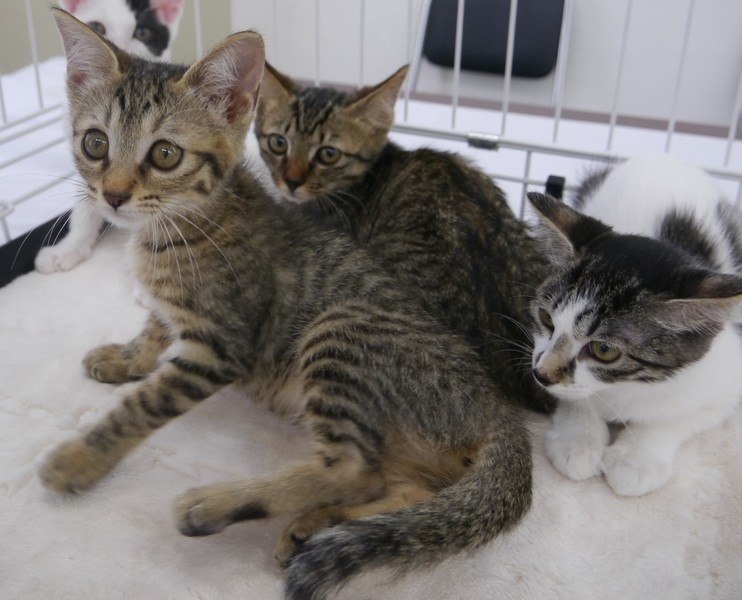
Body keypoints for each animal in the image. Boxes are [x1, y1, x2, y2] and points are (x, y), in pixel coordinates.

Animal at [528, 153, 742, 497]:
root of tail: (660, 156)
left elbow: (676, 418)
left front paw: (636, 461)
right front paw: (579, 441)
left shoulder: (725, 382)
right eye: (546, 319)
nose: (541, 374)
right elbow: (575, 396)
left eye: (604, 350)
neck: (624, 387)